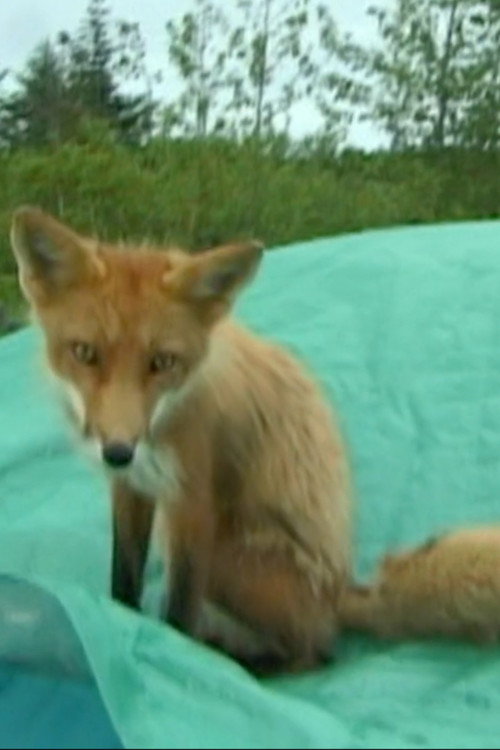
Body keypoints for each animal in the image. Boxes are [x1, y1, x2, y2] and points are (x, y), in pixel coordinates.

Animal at [9, 206, 353, 674]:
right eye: (84, 353)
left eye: (163, 362)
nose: (117, 451)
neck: (161, 427)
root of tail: (342, 598)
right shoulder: (132, 488)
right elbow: (124, 575)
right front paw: (123, 626)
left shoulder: (193, 503)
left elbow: (181, 606)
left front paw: (175, 659)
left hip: (226, 556)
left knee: (313, 653)